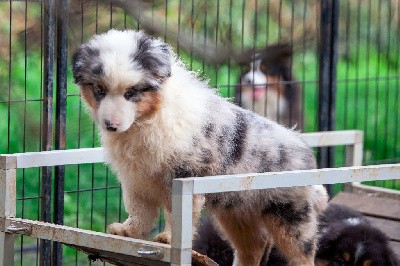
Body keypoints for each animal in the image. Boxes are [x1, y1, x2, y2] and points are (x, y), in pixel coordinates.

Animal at [72, 29, 328, 266]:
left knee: (302, 255)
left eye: (131, 92)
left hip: (291, 216)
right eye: (100, 90)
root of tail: (304, 149)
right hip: (236, 209)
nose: (111, 126)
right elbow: (139, 210)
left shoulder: (182, 174)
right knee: (253, 245)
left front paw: (167, 239)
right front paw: (127, 232)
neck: (148, 119)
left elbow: (174, 213)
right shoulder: (136, 178)